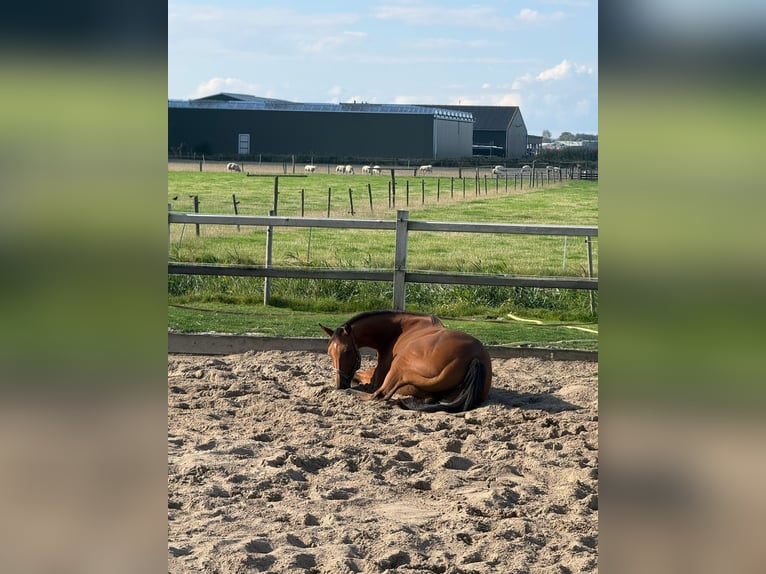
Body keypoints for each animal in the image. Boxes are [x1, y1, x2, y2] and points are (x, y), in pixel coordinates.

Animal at [319, 310, 492, 412]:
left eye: (348, 351)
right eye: (329, 354)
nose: (340, 384)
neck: (399, 330)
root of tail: (475, 358)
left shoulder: (376, 378)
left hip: (399, 367)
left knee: (379, 395)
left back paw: (349, 392)